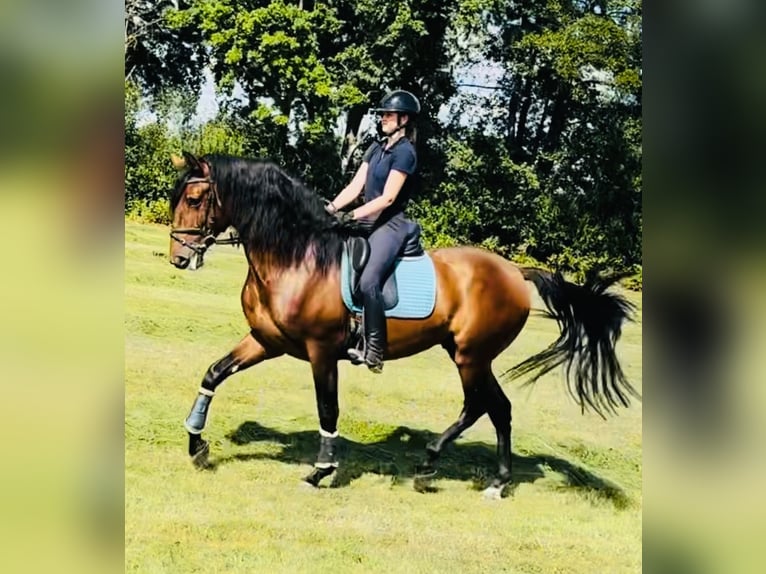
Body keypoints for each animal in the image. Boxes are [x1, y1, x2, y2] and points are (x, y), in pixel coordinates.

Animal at [168, 150, 639, 498]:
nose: (178, 257)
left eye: (193, 200)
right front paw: (196, 443)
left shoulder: (321, 351)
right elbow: (214, 373)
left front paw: (321, 470)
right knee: (493, 408)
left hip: (471, 356)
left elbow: (327, 408)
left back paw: (448, 467)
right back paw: (477, 477)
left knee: (482, 406)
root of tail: (515, 272)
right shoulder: (267, 340)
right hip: (466, 353)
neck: (298, 258)